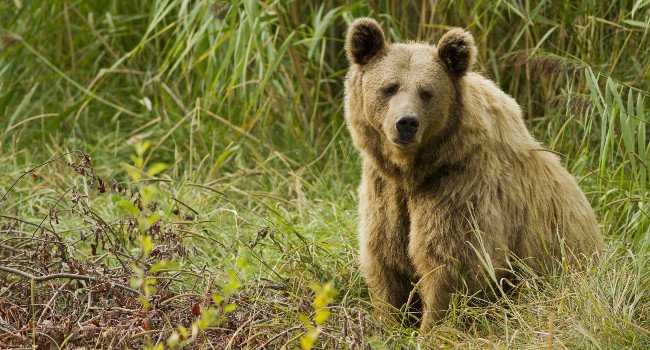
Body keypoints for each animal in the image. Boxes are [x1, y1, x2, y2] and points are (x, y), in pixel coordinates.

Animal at [344, 17, 604, 330]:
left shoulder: (460, 184)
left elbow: (452, 261)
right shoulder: (385, 191)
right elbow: (385, 256)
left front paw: (433, 327)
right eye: (389, 87)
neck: (414, 170)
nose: (406, 123)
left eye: (426, 92)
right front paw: (388, 322)